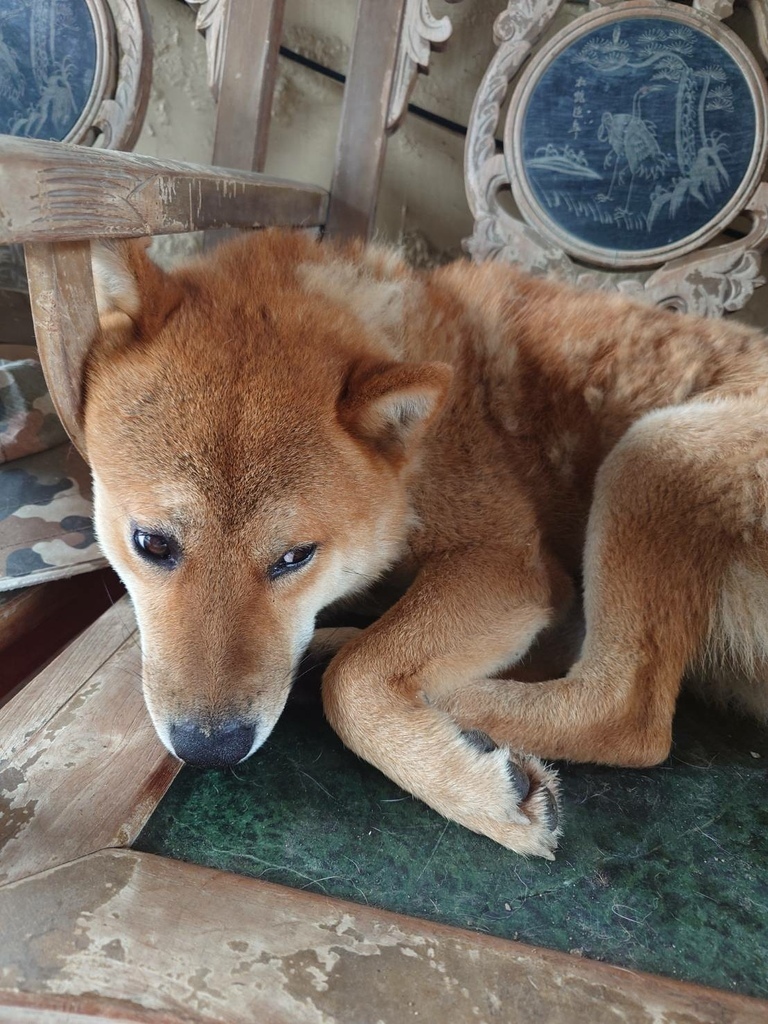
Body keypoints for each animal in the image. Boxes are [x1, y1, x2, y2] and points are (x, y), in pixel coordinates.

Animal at [83, 230, 768, 856]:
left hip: (656, 446)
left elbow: (354, 684)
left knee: (627, 713)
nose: (211, 748)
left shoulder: (504, 561)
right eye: (151, 543)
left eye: (295, 557)